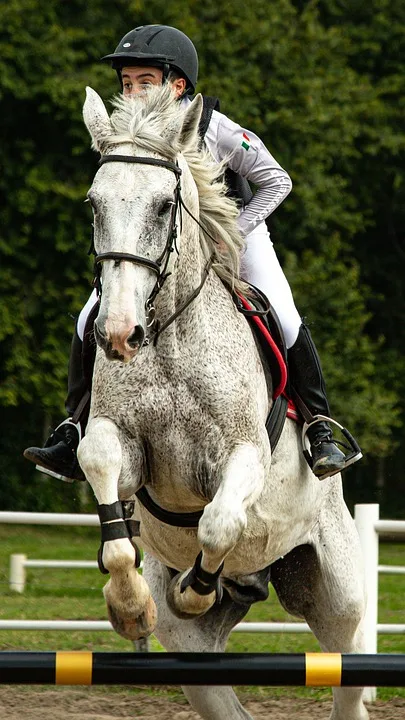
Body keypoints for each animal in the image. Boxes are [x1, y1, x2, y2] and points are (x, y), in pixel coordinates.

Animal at [77, 86, 368, 720]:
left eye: (165, 205)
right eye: (93, 204)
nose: (118, 334)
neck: (168, 336)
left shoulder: (242, 457)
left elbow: (217, 524)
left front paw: (193, 587)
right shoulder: (120, 444)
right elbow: (102, 474)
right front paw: (130, 606)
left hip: (339, 596)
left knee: (348, 672)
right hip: (196, 652)